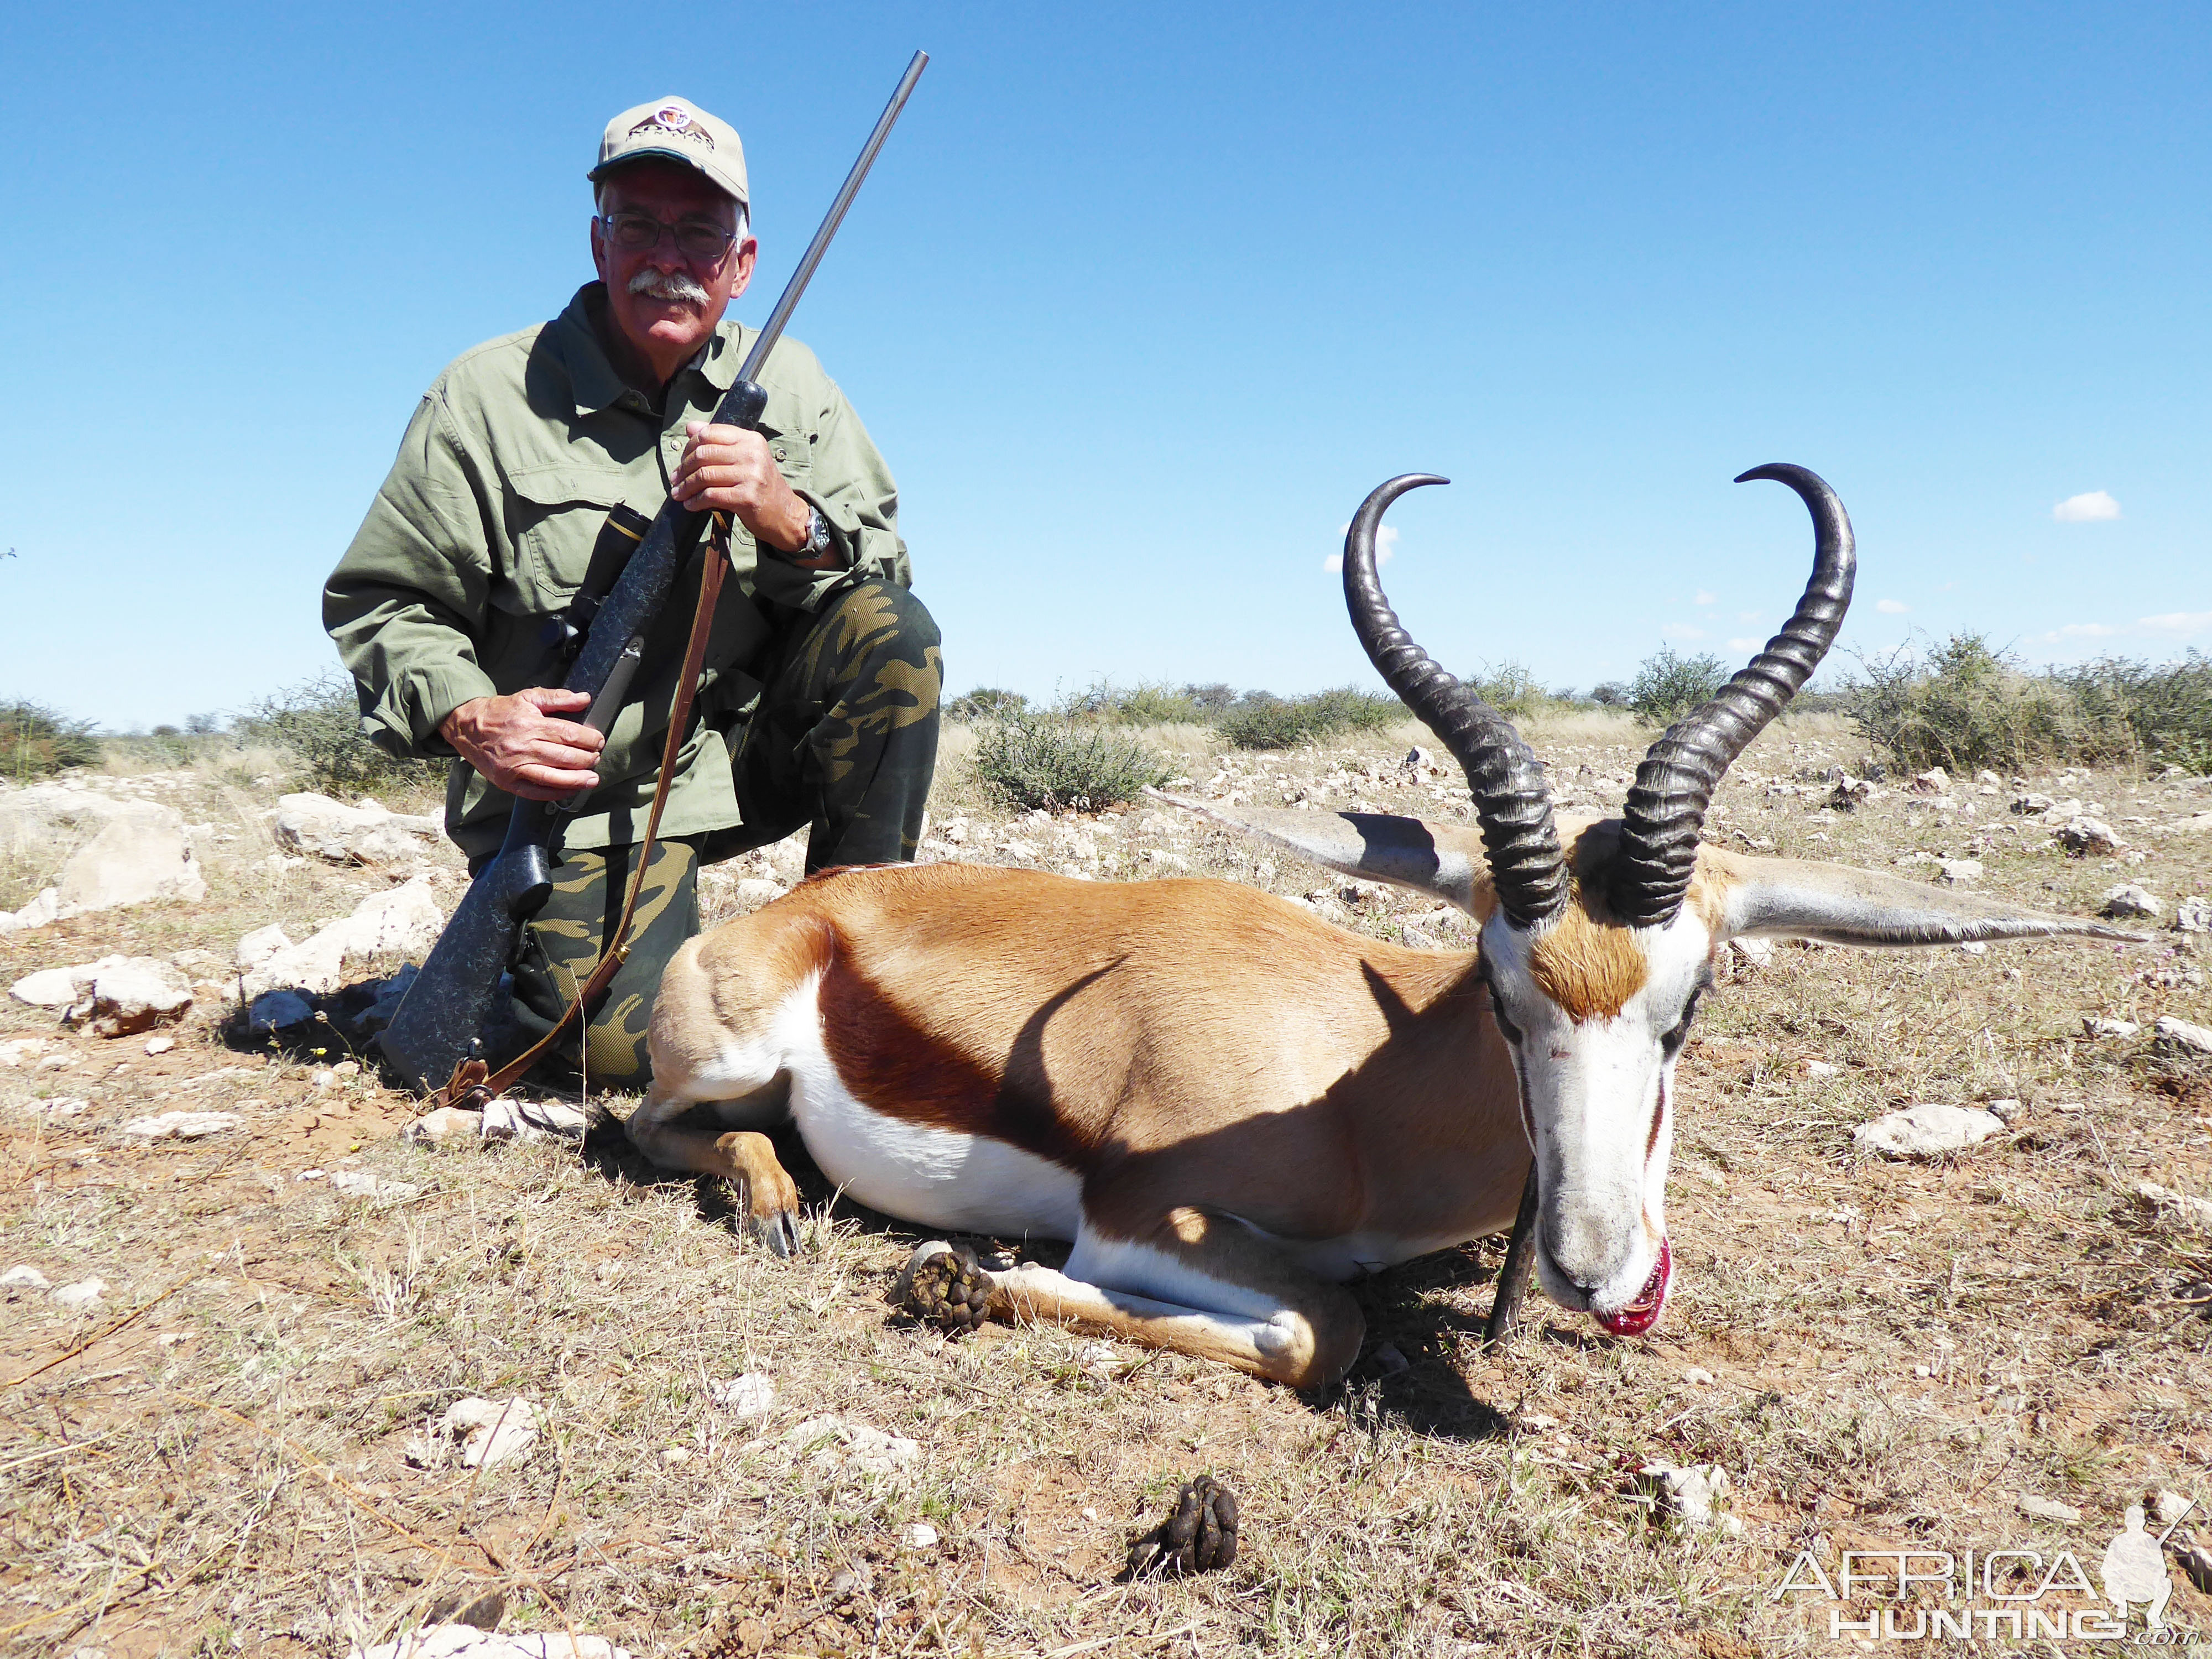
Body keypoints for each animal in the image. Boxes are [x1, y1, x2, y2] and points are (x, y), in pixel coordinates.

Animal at [628, 469, 2141, 1389]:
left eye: (1689, 1006)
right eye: (1500, 994)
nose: (1593, 1267)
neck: (1364, 1090)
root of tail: (817, 906)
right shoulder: (1137, 1219)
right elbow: (1326, 1325)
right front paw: (955, 1272)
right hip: (712, 1065)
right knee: (642, 1124)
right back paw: (774, 1200)